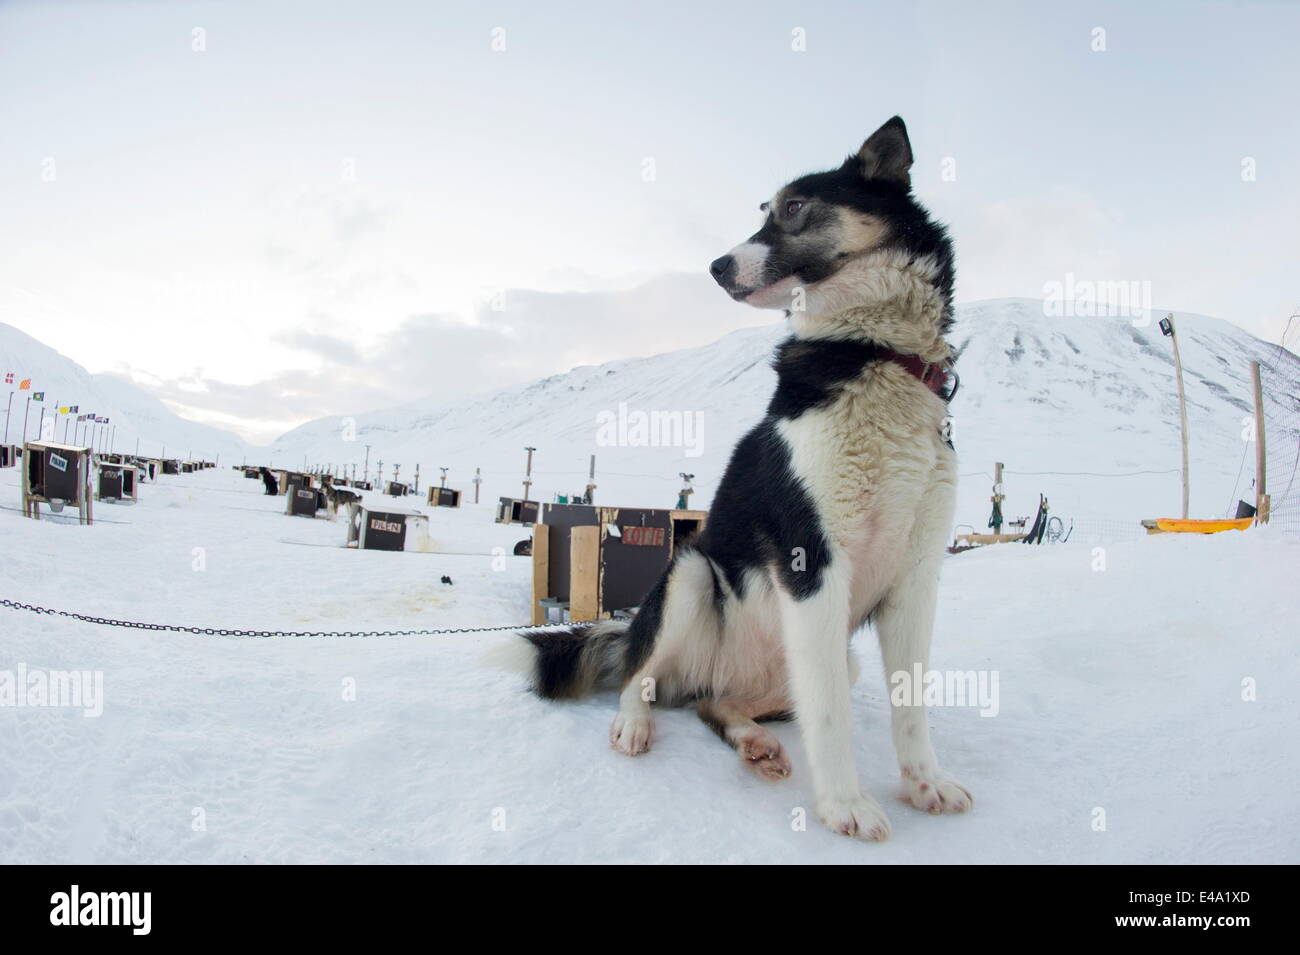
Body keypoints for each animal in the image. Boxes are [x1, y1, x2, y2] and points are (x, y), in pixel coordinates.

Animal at [506, 115, 967, 841]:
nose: (717, 266)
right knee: (640, 675)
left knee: (717, 705)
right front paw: (844, 803)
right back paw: (634, 724)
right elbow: (831, 717)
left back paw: (752, 739)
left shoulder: (917, 579)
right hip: (692, 574)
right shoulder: (813, 561)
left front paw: (924, 782)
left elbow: (911, 704)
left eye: (796, 207)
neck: (871, 350)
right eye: (763, 211)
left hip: (827, 657)